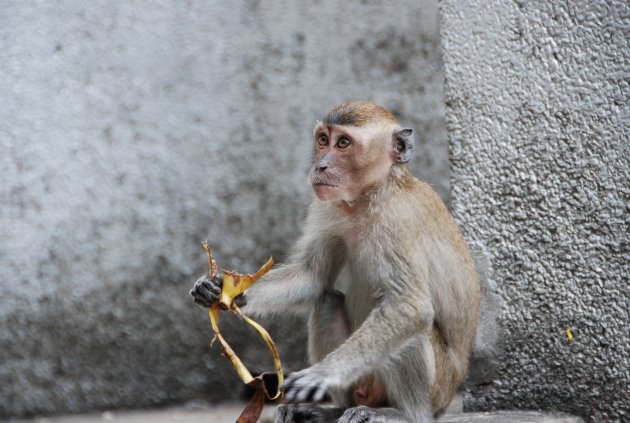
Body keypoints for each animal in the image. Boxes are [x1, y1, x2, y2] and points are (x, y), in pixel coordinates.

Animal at [190, 101, 482, 422]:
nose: (321, 166)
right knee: (326, 302)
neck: (369, 195)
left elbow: (409, 305)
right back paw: (329, 410)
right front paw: (220, 290)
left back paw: (404, 414)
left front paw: (323, 374)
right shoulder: (327, 207)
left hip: (437, 390)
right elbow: (312, 276)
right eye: (322, 140)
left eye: (343, 143)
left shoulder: (399, 219)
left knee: (411, 326)